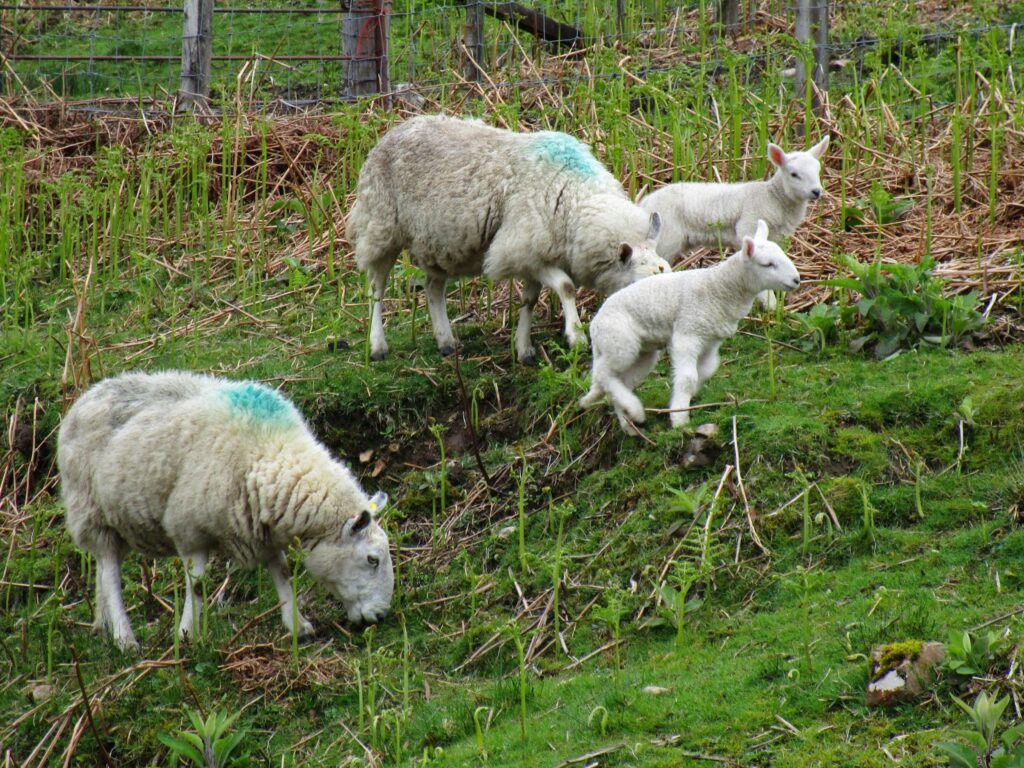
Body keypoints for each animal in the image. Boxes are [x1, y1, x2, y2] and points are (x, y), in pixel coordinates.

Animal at [57, 371, 394, 652]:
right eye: (372, 560)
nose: (380, 616)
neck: (270, 450)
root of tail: (87, 396)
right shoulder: (189, 529)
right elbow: (197, 585)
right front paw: (187, 635)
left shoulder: (261, 529)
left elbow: (283, 572)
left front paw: (298, 625)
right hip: (92, 514)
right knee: (110, 575)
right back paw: (124, 638)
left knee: (103, 570)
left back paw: (103, 626)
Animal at [348, 114, 668, 365]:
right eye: (637, 285)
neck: (575, 197)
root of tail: (395, 128)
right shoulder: (521, 247)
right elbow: (565, 287)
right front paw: (575, 337)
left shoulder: (532, 254)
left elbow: (530, 300)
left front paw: (524, 349)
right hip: (380, 225)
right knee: (376, 287)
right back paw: (377, 346)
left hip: (438, 245)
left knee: (432, 288)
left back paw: (446, 342)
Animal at [579, 220, 800, 435]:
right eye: (768, 264)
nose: (797, 279)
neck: (721, 288)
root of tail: (595, 323)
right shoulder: (688, 333)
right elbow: (687, 377)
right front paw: (679, 418)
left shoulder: (711, 339)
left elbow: (707, 369)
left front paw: (684, 399)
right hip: (620, 342)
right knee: (604, 374)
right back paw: (634, 409)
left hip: (641, 352)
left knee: (619, 380)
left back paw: (629, 422)